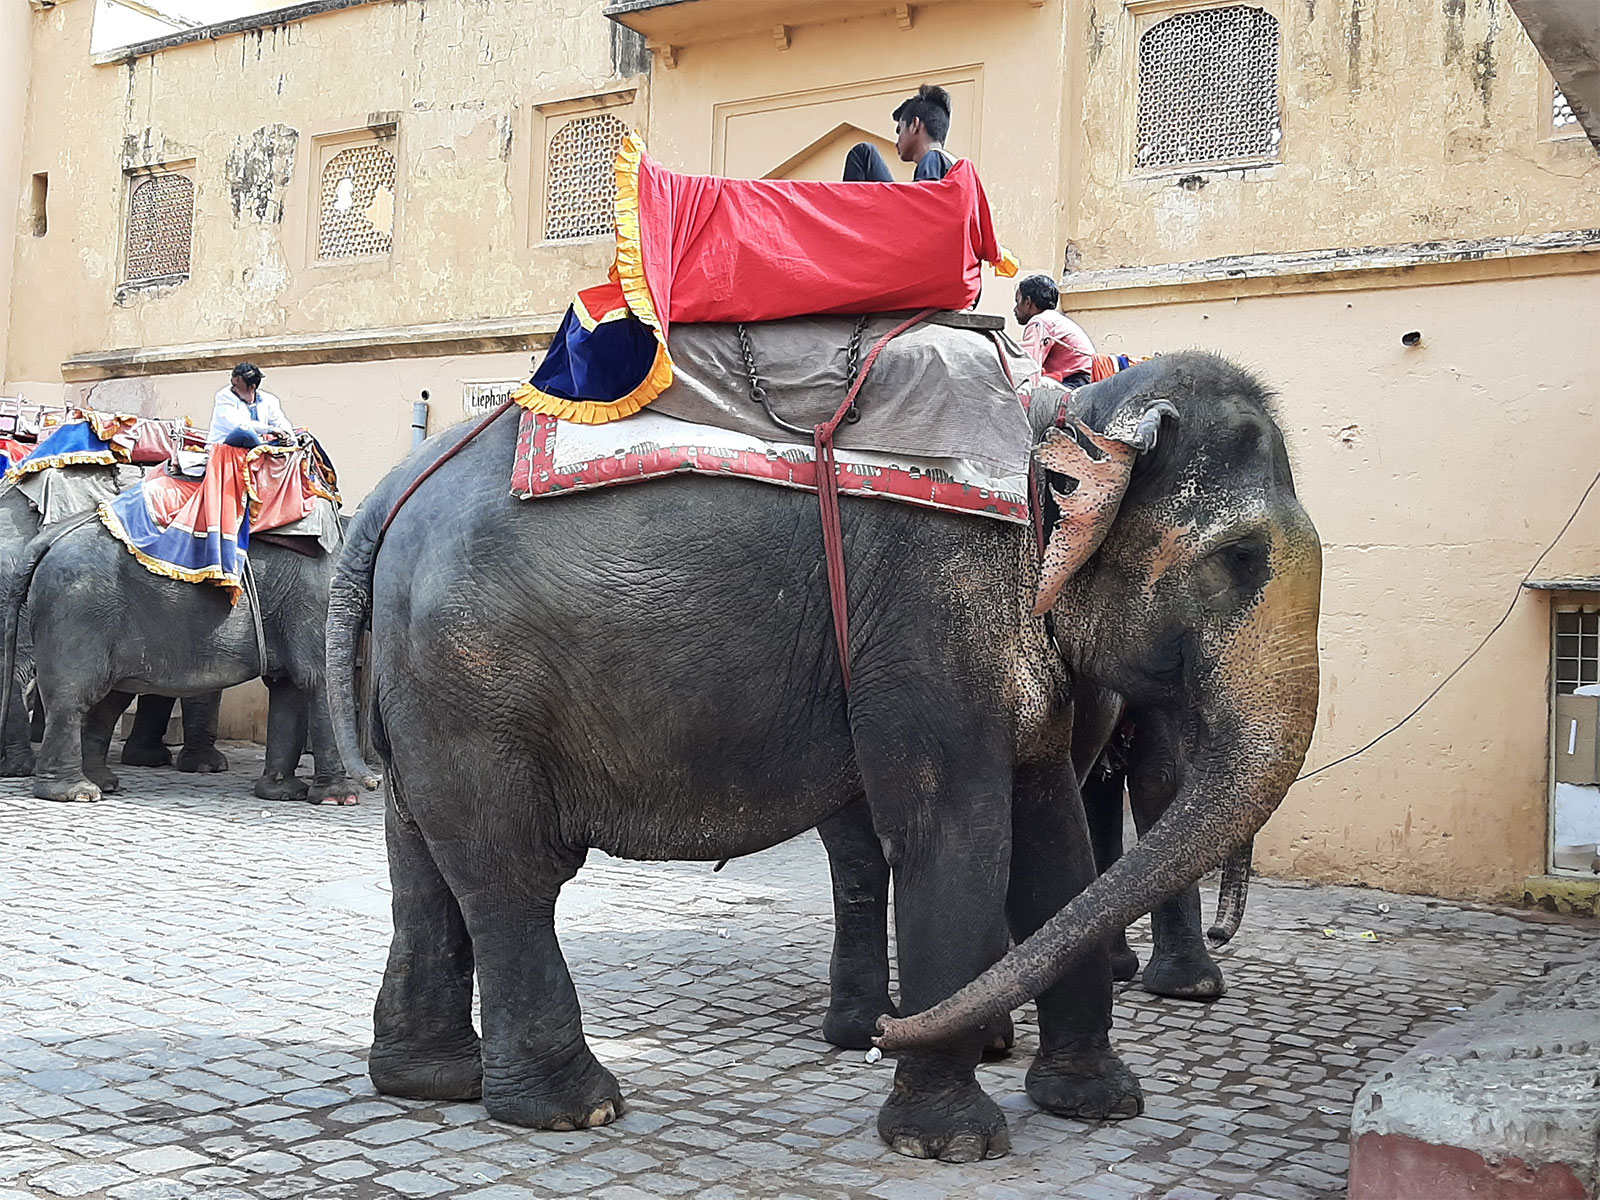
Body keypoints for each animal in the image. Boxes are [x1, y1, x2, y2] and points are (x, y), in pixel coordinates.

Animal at [0, 510, 356, 805]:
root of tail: (45, 539)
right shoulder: (316, 602)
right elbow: (319, 681)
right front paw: (338, 800)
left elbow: (289, 687)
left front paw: (282, 793)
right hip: (77, 611)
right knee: (73, 697)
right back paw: (77, 793)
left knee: (105, 701)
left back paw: (102, 783)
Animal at [324, 349, 1321, 1161]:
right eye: (1238, 560)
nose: (890, 1033)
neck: (1059, 415)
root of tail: (385, 500)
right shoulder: (932, 605)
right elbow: (954, 827)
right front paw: (948, 1142)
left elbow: (1056, 840)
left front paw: (1096, 1104)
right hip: (472, 675)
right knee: (510, 870)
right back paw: (577, 1109)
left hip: (425, 686)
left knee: (424, 857)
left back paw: (433, 1083)